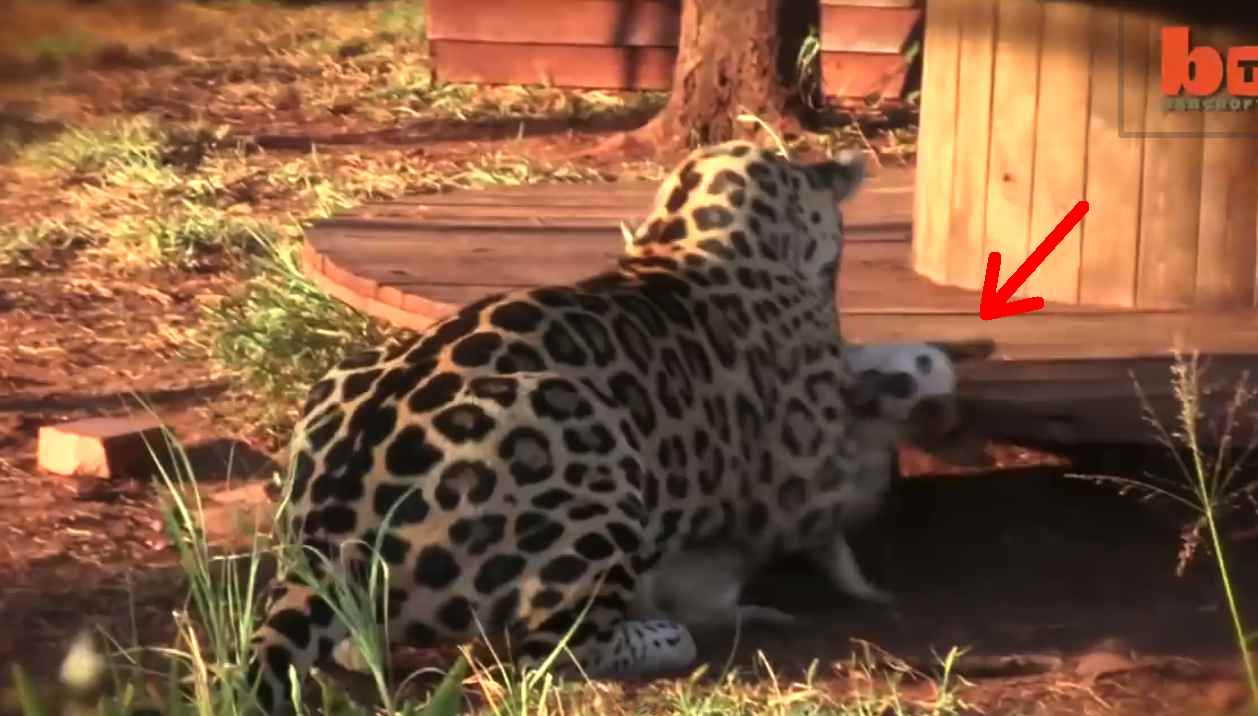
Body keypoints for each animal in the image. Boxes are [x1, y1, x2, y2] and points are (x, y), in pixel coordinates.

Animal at [245, 139, 869, 714]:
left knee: (355, 647)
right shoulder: (809, 476)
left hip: (343, 374)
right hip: (589, 447)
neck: (683, 237)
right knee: (550, 653)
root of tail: (327, 542)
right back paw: (668, 635)